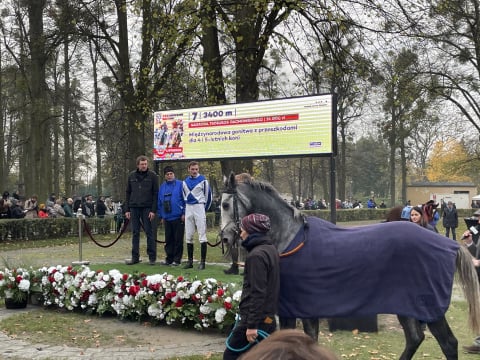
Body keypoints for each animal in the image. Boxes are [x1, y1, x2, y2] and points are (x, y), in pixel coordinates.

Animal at [220, 173, 480, 358]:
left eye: (224, 205)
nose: (225, 238)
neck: (291, 237)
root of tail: (448, 245)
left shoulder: (293, 308)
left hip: (429, 307)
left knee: (448, 343)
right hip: (406, 306)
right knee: (415, 338)